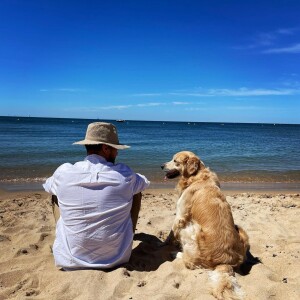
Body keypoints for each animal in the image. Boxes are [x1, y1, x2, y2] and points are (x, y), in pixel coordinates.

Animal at [162, 152, 251, 300]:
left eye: (175, 161)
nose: (161, 166)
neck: (197, 176)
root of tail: (225, 263)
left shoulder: (180, 215)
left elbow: (172, 232)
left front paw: (163, 243)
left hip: (192, 229)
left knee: (190, 261)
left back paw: (176, 253)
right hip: (241, 231)